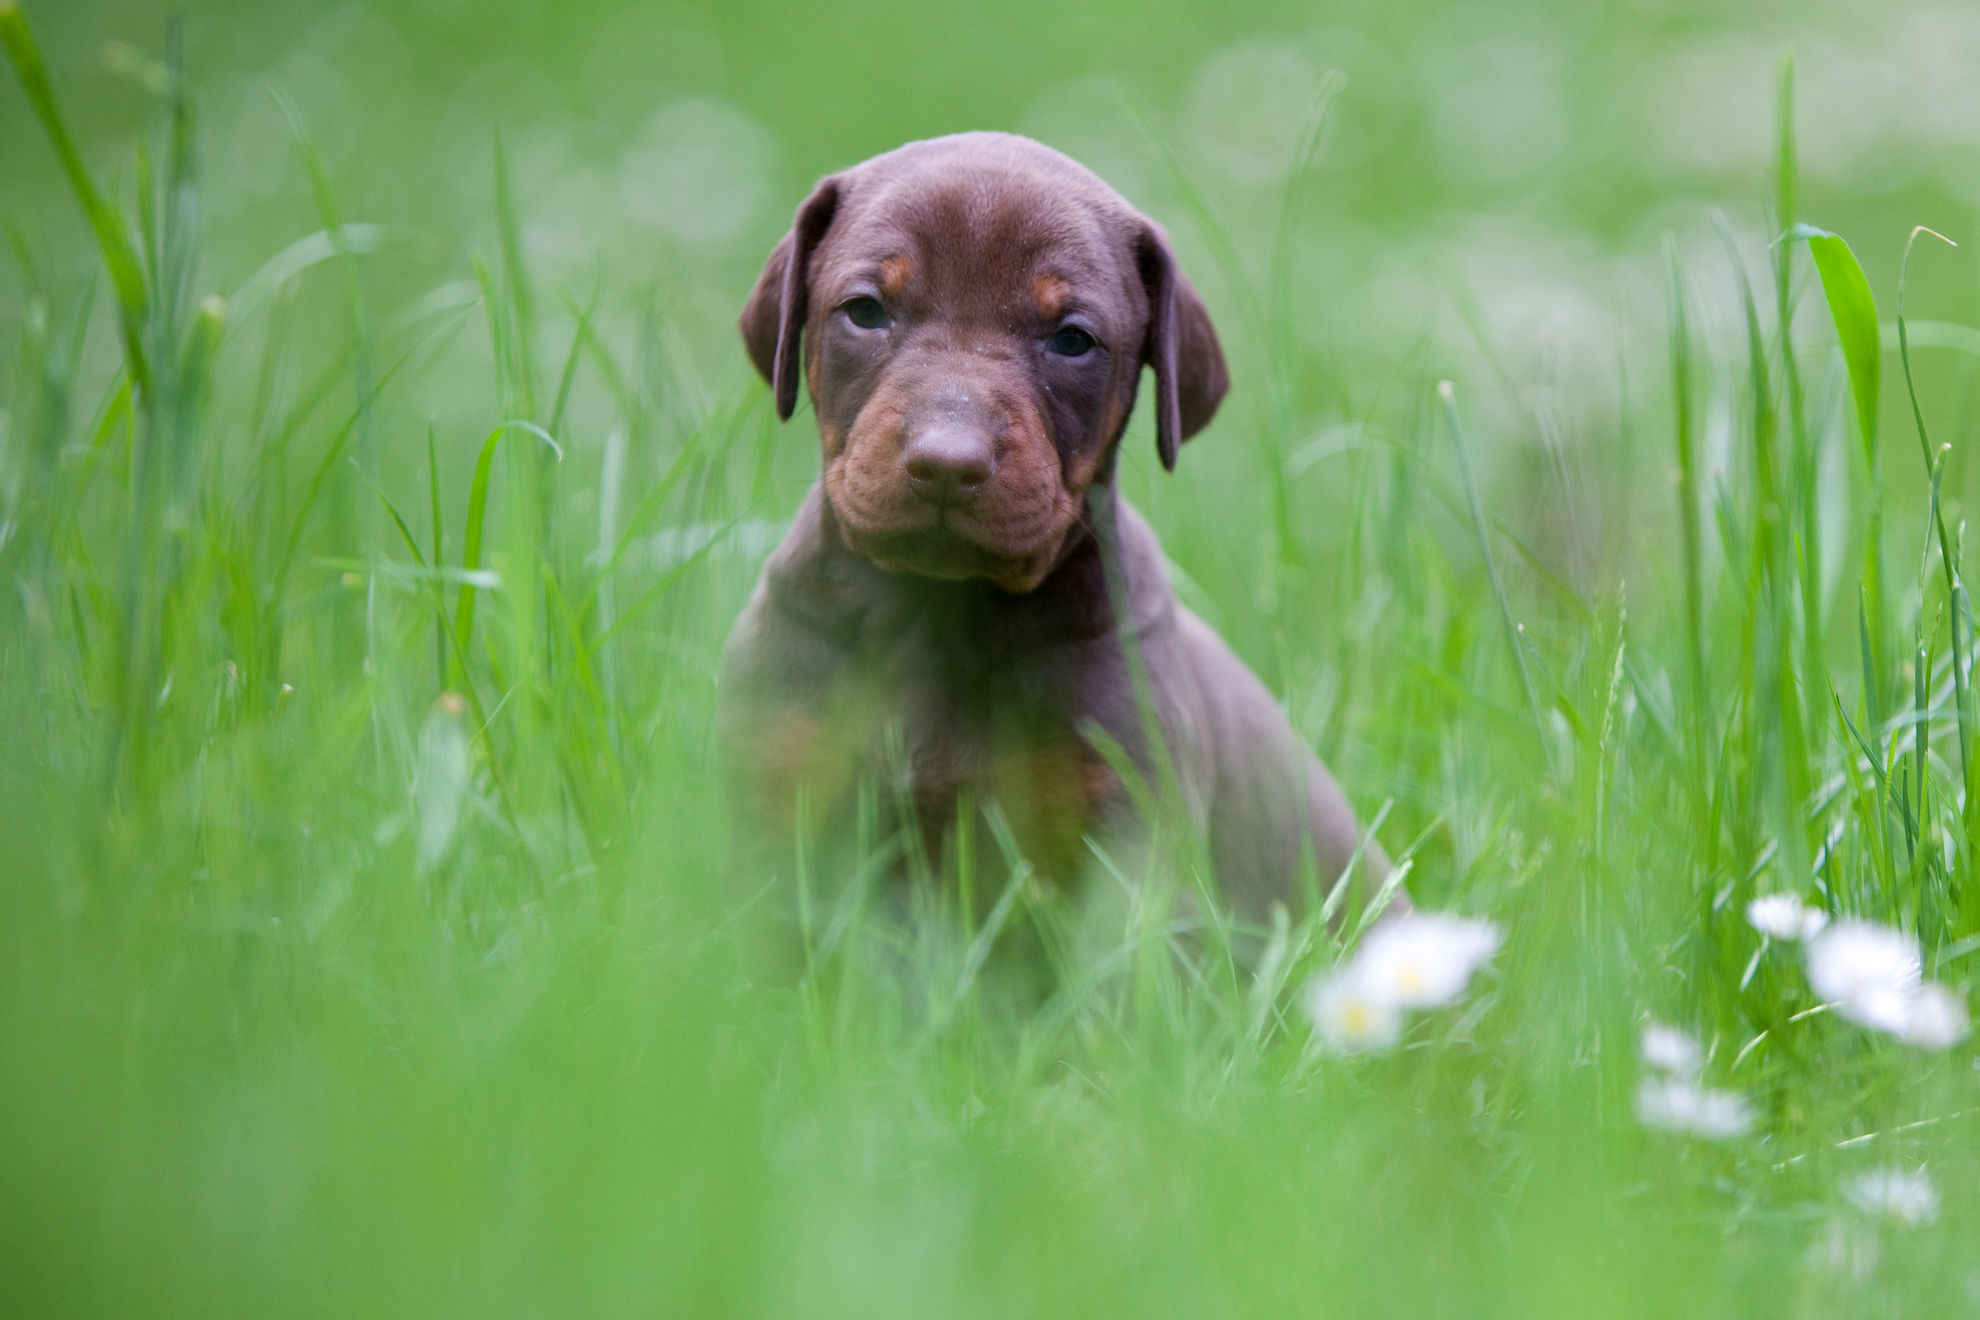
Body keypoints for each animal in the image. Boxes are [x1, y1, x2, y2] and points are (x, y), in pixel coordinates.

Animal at [720, 134, 1386, 934]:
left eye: (1073, 339)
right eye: (865, 311)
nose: (948, 462)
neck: (941, 611)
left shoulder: (1125, 829)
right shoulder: (781, 784)